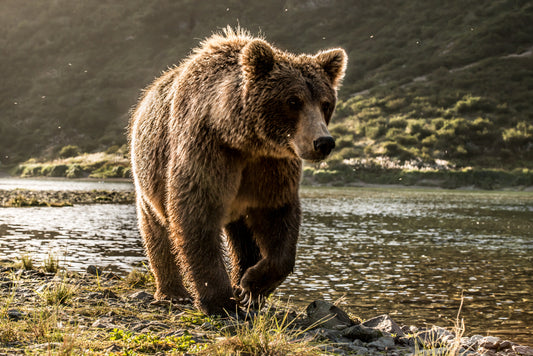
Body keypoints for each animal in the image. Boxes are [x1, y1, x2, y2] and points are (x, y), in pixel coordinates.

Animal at [128, 27, 344, 314]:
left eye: (325, 102)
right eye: (293, 101)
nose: (323, 142)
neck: (242, 140)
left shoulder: (270, 168)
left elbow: (278, 218)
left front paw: (251, 286)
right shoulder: (207, 150)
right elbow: (195, 215)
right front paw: (219, 300)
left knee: (243, 239)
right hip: (148, 178)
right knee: (156, 229)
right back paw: (173, 292)